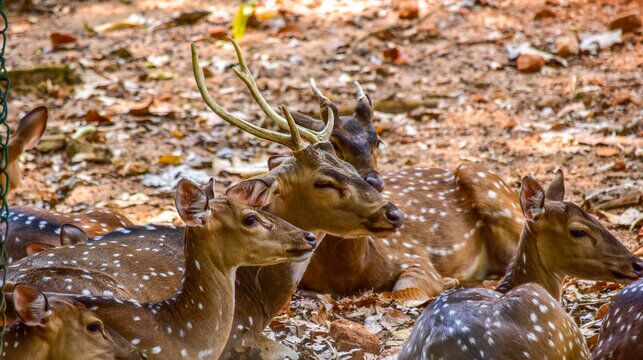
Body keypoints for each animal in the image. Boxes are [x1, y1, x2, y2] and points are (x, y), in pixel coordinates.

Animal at [292, 83, 524, 302]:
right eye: (334, 143)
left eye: (378, 141)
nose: (375, 181)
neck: (349, 272)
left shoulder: (413, 255)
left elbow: (400, 291)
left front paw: (448, 281)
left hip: (485, 183)